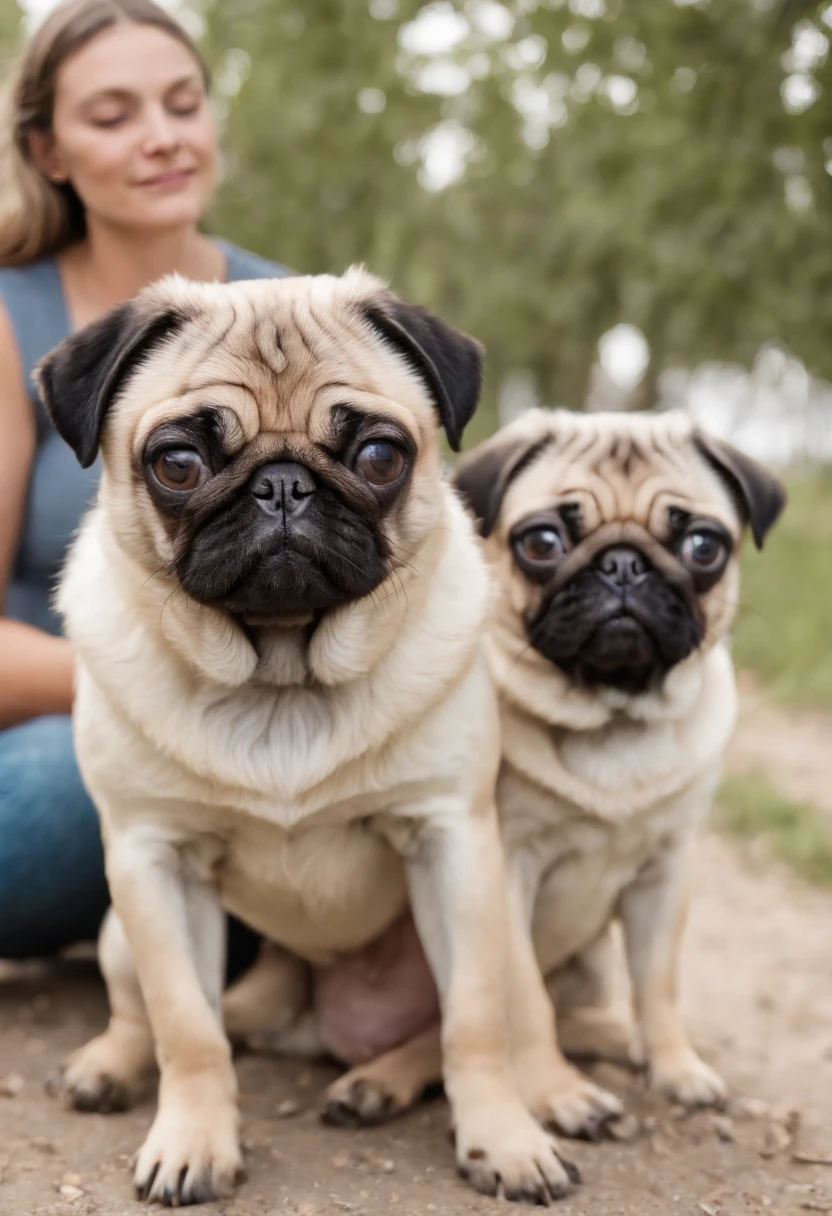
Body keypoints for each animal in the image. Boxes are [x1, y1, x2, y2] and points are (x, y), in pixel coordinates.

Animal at [34, 271, 598, 1211]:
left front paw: (504, 1139)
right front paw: (194, 1140)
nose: (283, 486)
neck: (280, 680)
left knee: (455, 1028)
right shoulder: (151, 857)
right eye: (178, 464)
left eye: (378, 457)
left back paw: (379, 1085)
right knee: (148, 1013)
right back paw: (111, 1066)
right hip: (121, 927)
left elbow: (475, 1022)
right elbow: (186, 1026)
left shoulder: (454, 844)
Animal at [454, 411, 788, 1113]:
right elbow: (524, 999)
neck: (613, 717)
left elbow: (659, 983)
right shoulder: (509, 870)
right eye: (542, 542)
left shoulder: (666, 872)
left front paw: (675, 1066)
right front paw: (554, 1091)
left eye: (703, 547)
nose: (624, 563)